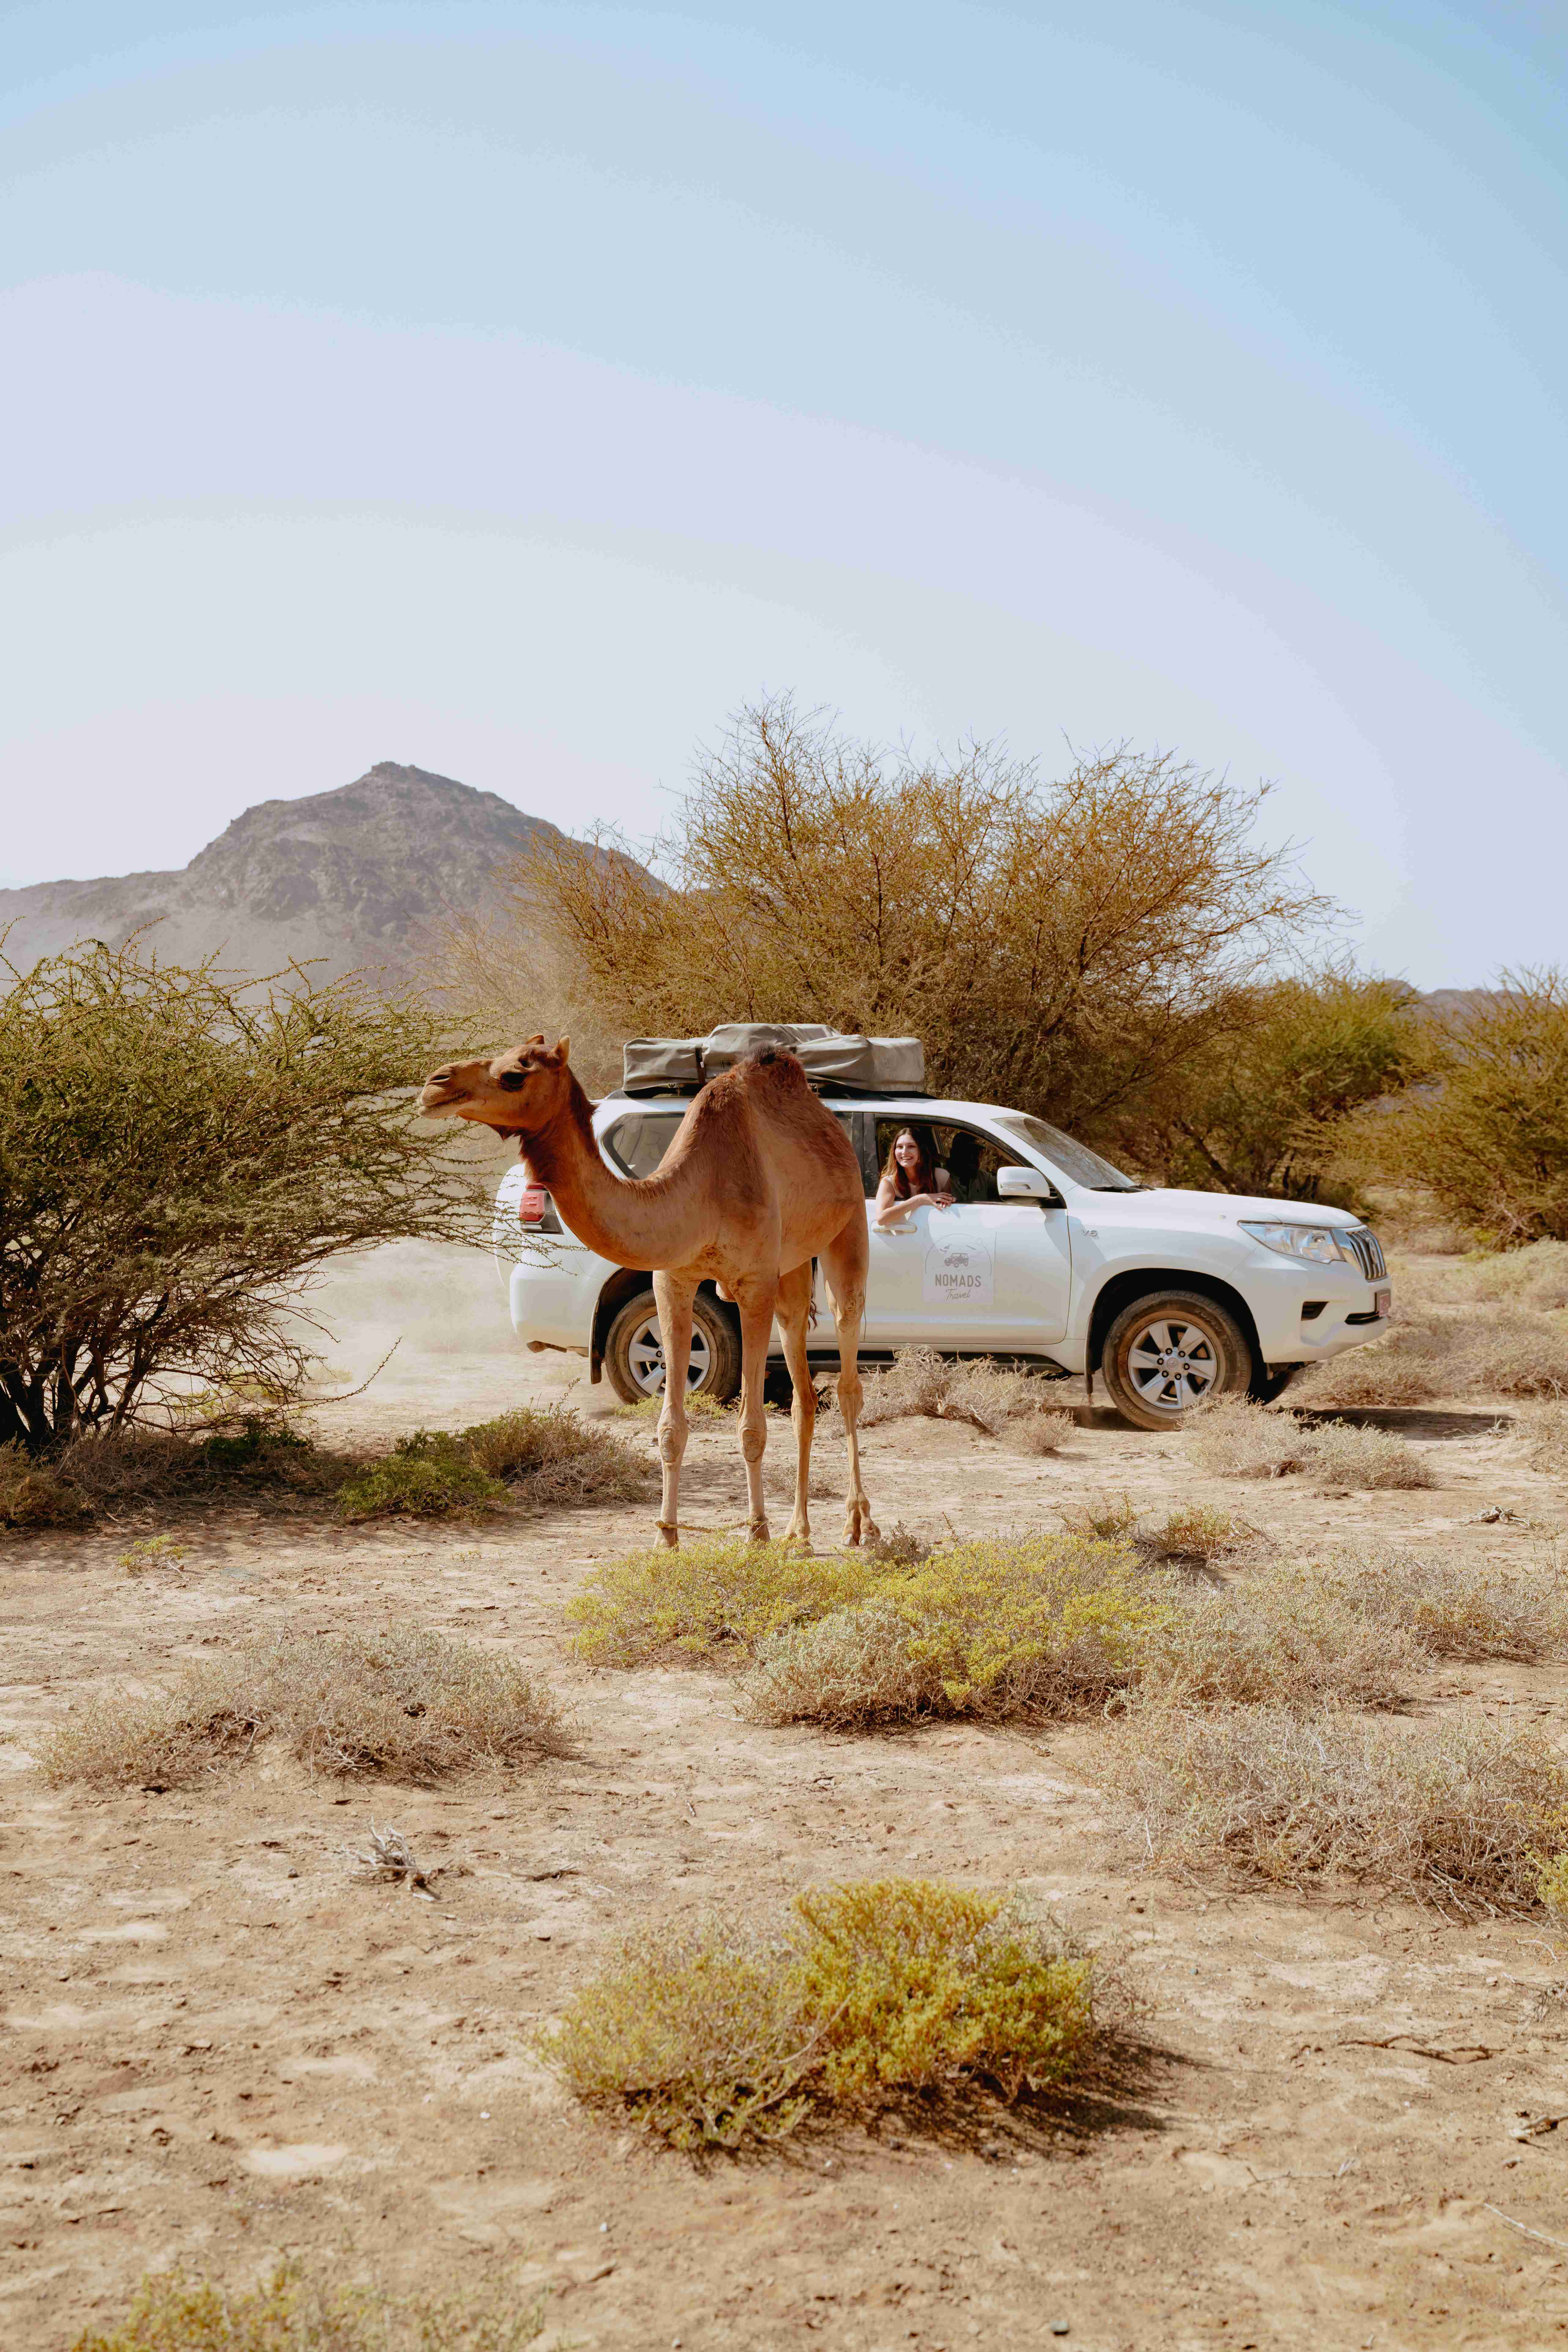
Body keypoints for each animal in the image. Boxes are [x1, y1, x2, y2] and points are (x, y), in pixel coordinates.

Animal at [423, 1035, 879, 1552]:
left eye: (515, 1075)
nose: (436, 1084)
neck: (700, 1195)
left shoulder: (753, 1283)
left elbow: (750, 1426)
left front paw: (756, 1532)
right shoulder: (672, 1281)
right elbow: (669, 1427)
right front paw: (667, 1536)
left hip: (845, 1229)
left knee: (847, 1368)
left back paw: (857, 1524)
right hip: (793, 1265)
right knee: (803, 1391)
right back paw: (798, 1532)